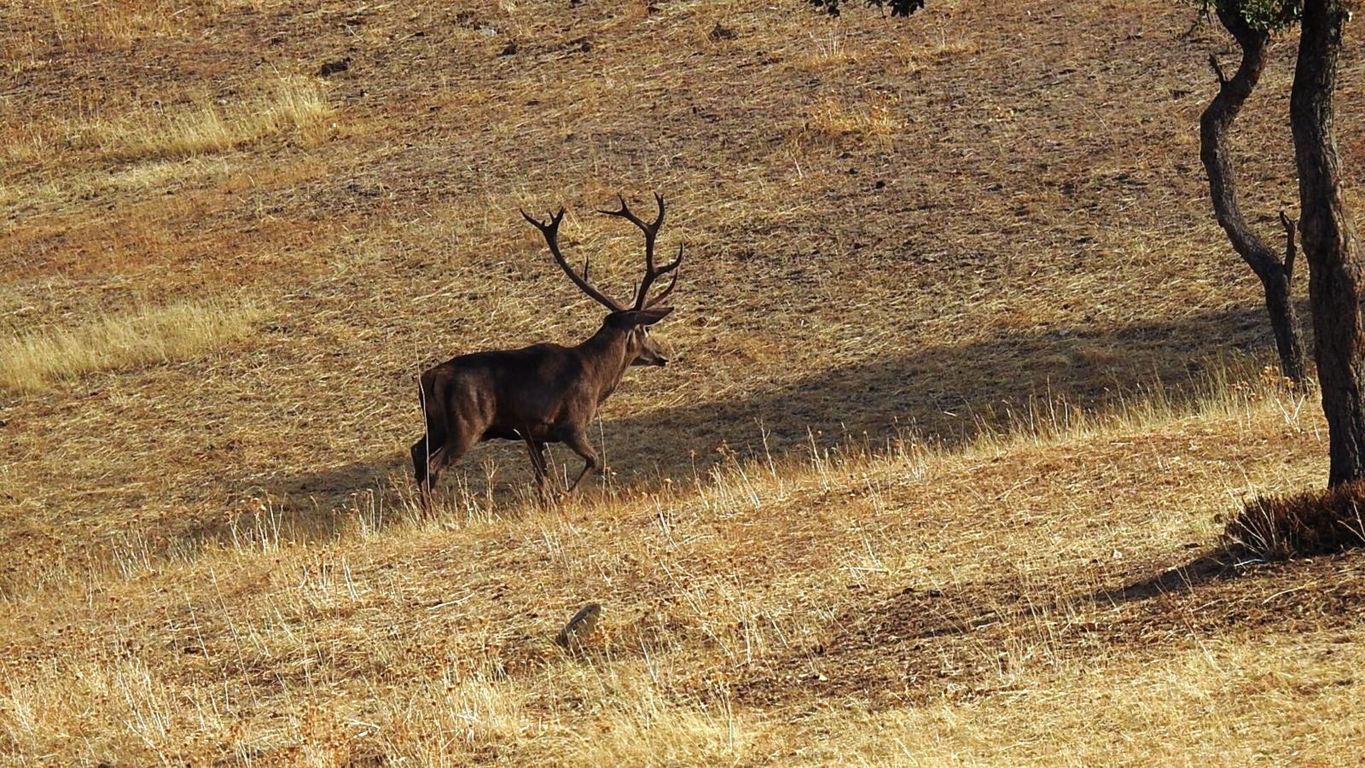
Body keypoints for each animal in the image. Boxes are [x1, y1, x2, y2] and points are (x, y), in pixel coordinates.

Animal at [406, 195, 679, 501]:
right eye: (646, 329)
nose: (662, 356)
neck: (596, 377)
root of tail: (431, 378)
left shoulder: (530, 433)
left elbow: (542, 478)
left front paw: (550, 499)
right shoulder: (570, 424)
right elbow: (594, 460)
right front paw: (566, 495)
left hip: (436, 422)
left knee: (416, 451)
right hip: (466, 424)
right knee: (434, 465)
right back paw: (433, 507)